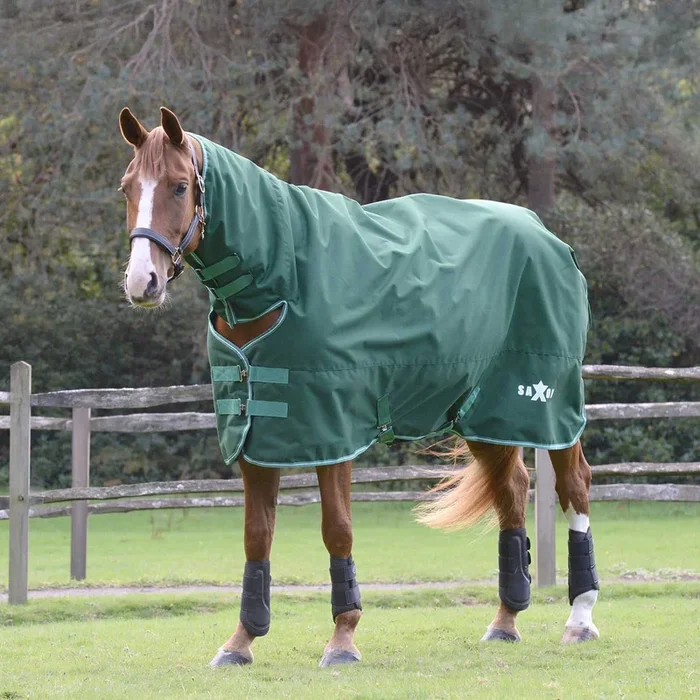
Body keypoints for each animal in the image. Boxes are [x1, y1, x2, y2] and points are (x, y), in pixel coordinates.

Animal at [118, 106, 600, 667]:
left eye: (178, 186)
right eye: (127, 186)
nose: (142, 282)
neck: (281, 278)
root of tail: (548, 236)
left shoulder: (332, 432)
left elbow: (338, 529)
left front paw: (343, 639)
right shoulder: (255, 436)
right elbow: (257, 537)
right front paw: (241, 642)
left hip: (546, 404)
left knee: (574, 487)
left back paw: (580, 618)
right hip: (484, 412)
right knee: (513, 492)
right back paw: (505, 621)